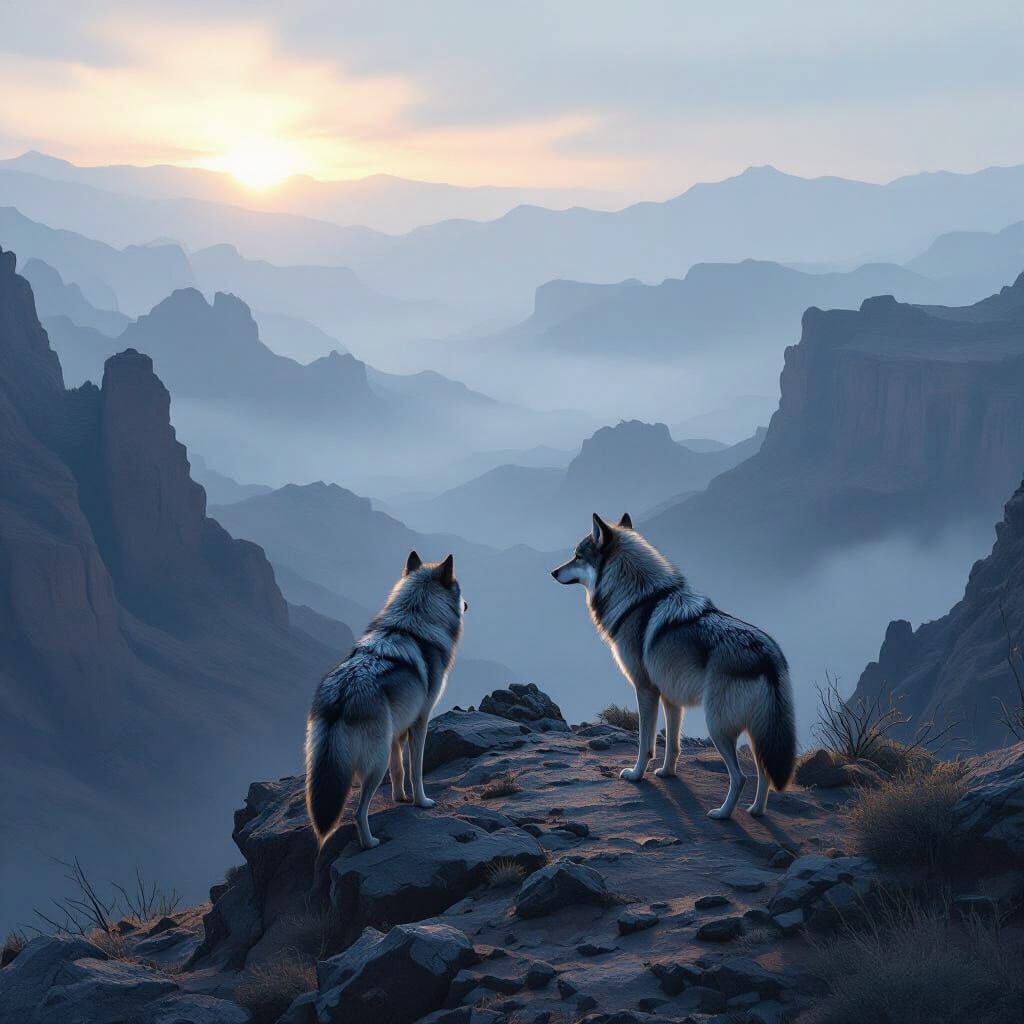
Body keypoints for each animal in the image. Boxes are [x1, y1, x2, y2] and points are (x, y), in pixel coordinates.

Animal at [305, 551, 466, 849]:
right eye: (459, 589)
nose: (467, 604)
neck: (414, 622)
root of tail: (341, 695)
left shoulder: (398, 728)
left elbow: (398, 769)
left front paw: (400, 798)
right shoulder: (421, 721)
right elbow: (415, 770)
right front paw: (421, 802)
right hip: (374, 763)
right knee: (358, 812)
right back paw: (370, 843)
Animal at [551, 513, 795, 818]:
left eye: (577, 556)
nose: (553, 572)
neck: (640, 599)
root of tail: (768, 657)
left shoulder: (645, 689)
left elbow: (645, 743)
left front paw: (636, 774)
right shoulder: (670, 696)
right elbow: (673, 746)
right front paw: (667, 773)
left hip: (717, 727)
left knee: (741, 777)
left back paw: (722, 814)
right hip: (756, 731)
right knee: (764, 772)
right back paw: (756, 811)